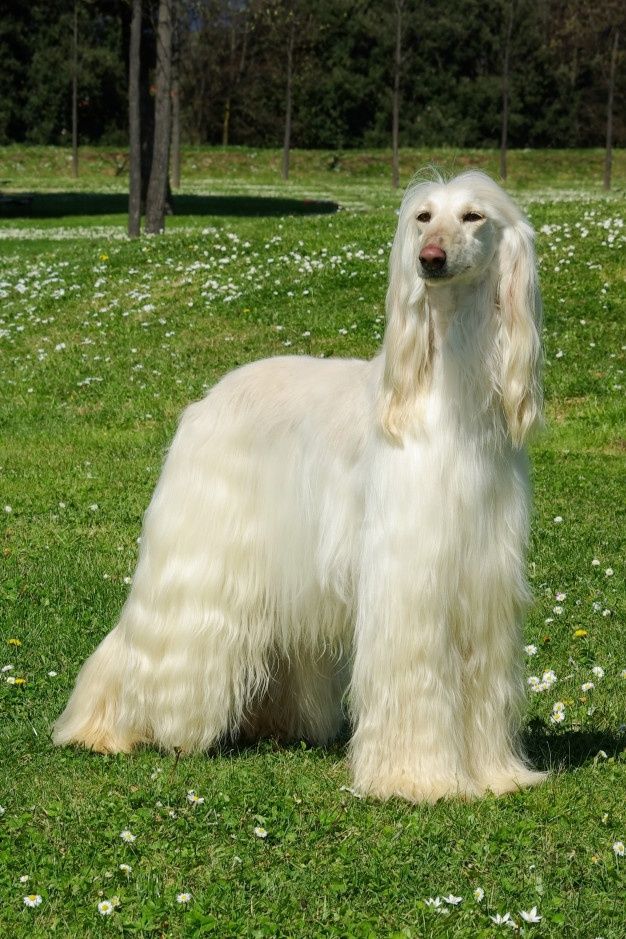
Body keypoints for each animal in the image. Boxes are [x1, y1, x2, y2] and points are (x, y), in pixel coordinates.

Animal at [53, 173, 544, 804]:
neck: (447, 398)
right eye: (423, 217)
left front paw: (495, 776)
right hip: (199, 554)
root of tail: (208, 396)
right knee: (148, 641)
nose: (430, 259)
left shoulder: (480, 575)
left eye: (474, 216)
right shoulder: (410, 573)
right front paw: (418, 778)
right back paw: (109, 729)